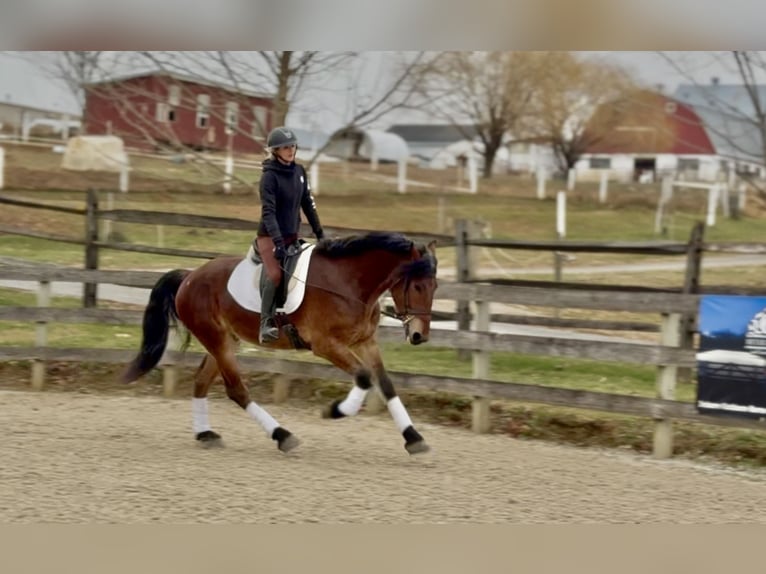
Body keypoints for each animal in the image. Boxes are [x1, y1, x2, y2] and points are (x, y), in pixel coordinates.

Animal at [121, 231, 439, 455]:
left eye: (434, 287)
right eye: (417, 286)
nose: (419, 336)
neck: (349, 283)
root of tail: (189, 277)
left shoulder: (365, 342)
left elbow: (385, 384)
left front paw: (414, 438)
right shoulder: (326, 344)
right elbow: (363, 377)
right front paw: (335, 411)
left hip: (224, 341)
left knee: (201, 382)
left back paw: (205, 434)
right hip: (217, 339)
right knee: (236, 390)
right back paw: (282, 436)